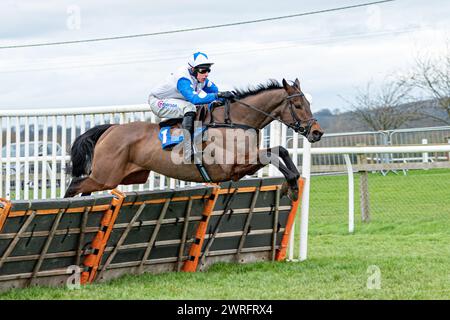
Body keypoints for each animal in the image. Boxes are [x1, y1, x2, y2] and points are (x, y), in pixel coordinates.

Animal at [64, 78, 324, 199]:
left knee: (83, 189)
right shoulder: (234, 166)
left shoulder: (243, 165)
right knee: (74, 185)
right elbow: (274, 153)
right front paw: (290, 185)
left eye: (308, 103)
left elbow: (281, 151)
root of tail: (110, 129)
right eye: (298, 105)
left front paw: (292, 184)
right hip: (105, 176)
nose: (316, 132)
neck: (236, 120)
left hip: (126, 176)